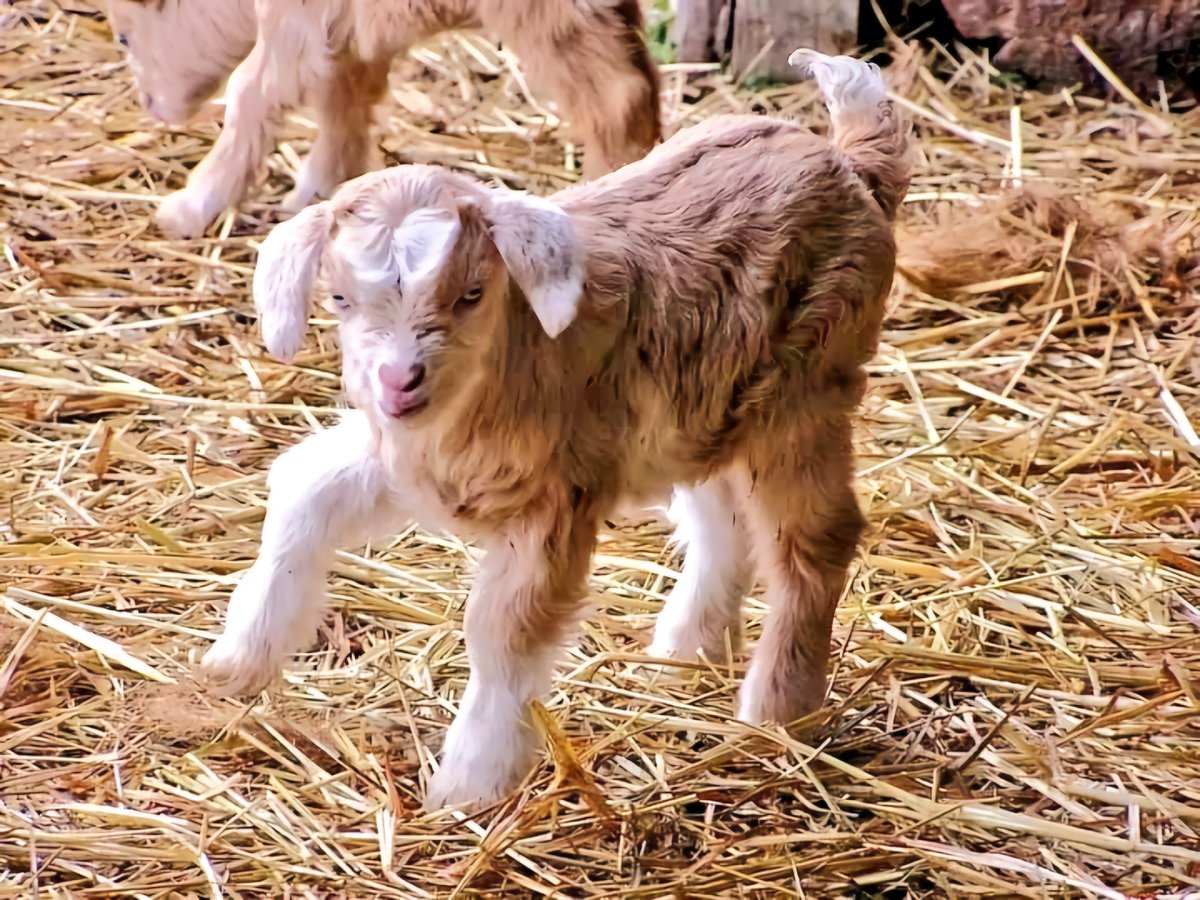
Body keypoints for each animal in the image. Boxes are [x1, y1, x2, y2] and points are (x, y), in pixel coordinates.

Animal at [106, 0, 661, 238]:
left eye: (124, 37)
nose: (155, 109)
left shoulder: (296, 19)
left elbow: (253, 93)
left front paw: (190, 207)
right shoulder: (345, 24)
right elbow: (344, 91)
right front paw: (328, 187)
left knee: (616, 96)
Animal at [201, 50, 911, 809]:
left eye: (471, 293)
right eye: (338, 297)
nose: (399, 381)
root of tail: (848, 161)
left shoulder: (549, 503)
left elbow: (504, 631)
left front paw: (469, 789)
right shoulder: (412, 460)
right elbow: (304, 490)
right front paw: (237, 661)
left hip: (804, 397)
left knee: (813, 540)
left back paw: (777, 716)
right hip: (702, 404)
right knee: (721, 521)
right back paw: (685, 651)